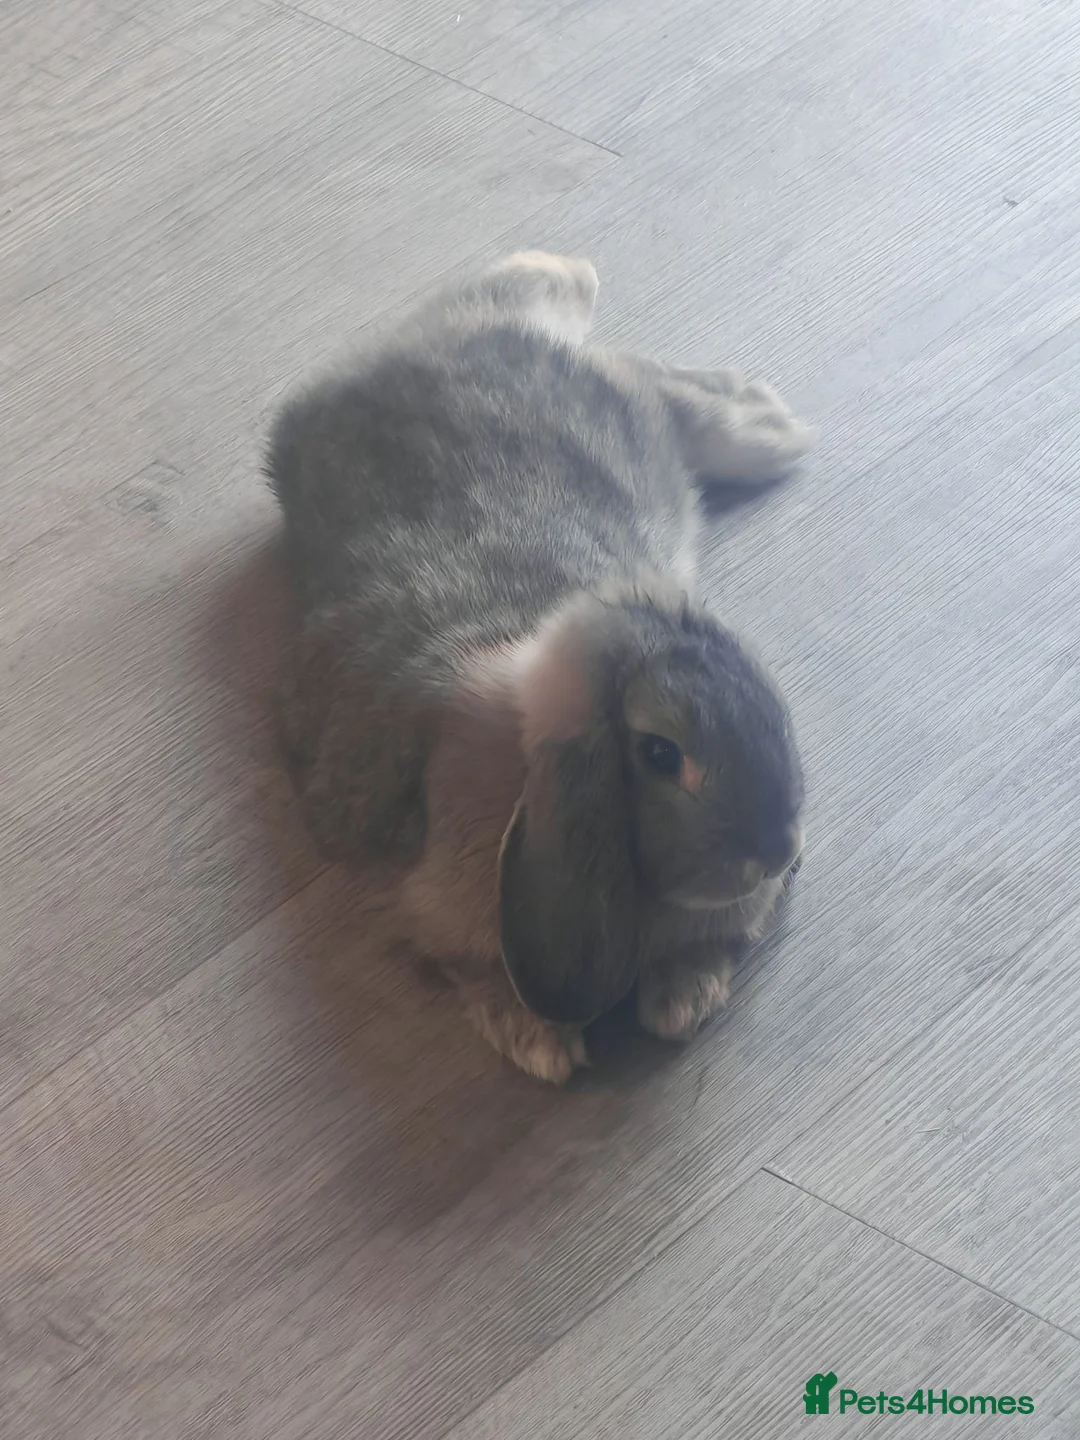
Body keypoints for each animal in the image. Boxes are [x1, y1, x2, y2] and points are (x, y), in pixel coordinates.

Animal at [265, 250, 814, 1084]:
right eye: (661, 754)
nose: (779, 853)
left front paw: (682, 998)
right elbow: (471, 973)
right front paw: (539, 1045)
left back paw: (767, 424)